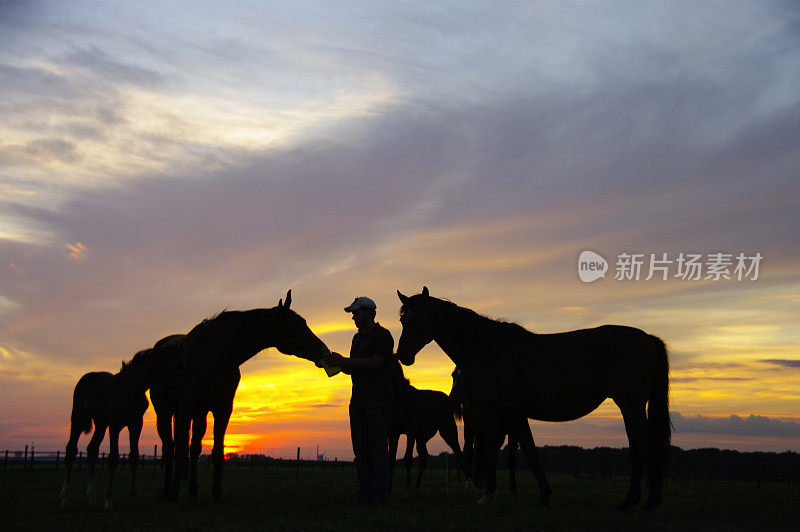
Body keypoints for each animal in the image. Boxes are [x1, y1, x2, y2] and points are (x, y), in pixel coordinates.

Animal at [62, 338, 181, 510]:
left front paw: (133, 498)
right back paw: (65, 498)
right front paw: (108, 500)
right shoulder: (115, 424)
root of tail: (85, 378)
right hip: (78, 419)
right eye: (177, 366)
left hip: (101, 424)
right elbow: (113, 458)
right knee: (71, 450)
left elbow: (134, 457)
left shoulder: (136, 424)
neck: (131, 388)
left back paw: (92, 498)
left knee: (92, 450)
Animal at [167, 294, 330, 500]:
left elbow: (217, 450)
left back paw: (193, 490)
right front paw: (174, 490)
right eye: (298, 324)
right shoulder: (187, 405)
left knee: (195, 447)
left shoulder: (223, 408)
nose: (325, 351)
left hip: (201, 413)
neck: (214, 353)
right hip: (183, 410)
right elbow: (181, 446)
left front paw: (217, 491)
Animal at [390, 360, 468, 492]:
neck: (401, 398)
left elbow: (408, 458)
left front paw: (408, 489)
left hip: (448, 432)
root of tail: (447, 400)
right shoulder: (393, 433)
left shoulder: (411, 432)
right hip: (422, 437)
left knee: (459, 455)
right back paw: (417, 487)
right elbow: (390, 459)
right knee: (424, 457)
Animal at [398, 286, 668, 512]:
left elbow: (491, 452)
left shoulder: (491, 414)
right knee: (637, 449)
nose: (403, 355)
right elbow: (529, 452)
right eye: (402, 319)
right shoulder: (514, 415)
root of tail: (646, 337)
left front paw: (489, 495)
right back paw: (632, 501)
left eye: (417, 318)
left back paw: (646, 502)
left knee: (645, 448)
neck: (486, 348)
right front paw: (545, 495)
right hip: (630, 407)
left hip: (631, 405)